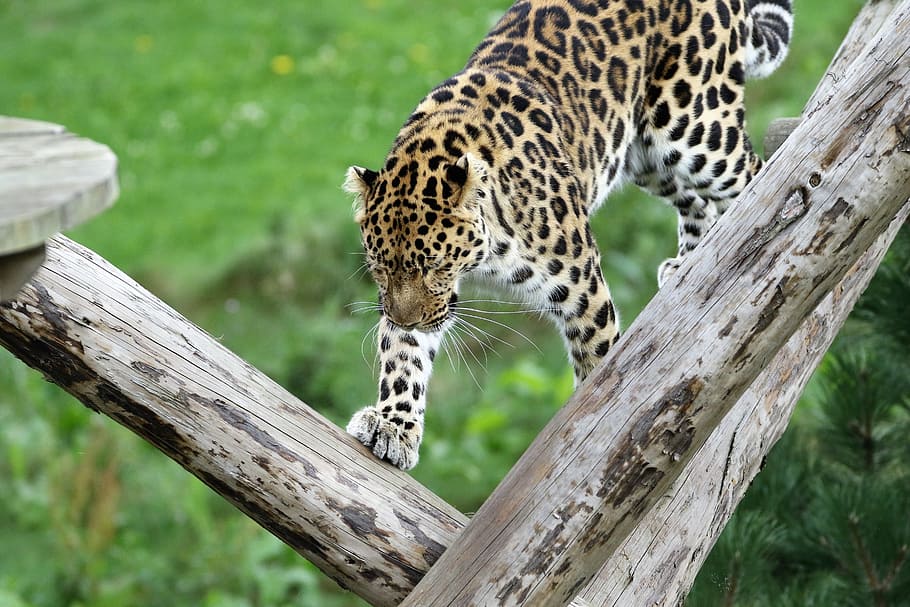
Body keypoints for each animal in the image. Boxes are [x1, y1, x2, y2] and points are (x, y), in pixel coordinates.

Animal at [344, 0, 793, 470]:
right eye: (380, 269)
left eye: (433, 266)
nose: (403, 317)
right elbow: (403, 358)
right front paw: (393, 426)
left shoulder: (580, 288)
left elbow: (598, 364)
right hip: (645, 156)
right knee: (694, 199)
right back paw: (693, 262)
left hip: (695, 128)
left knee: (753, 171)